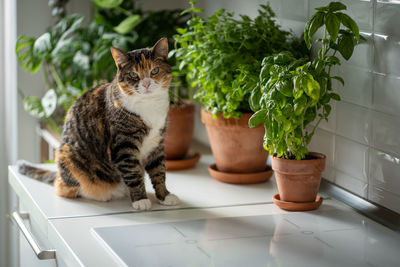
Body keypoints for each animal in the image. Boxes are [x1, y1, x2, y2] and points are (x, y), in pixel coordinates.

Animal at [18, 37, 179, 211]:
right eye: (133, 74)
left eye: (155, 70)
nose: (147, 84)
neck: (149, 105)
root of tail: (59, 175)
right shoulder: (124, 145)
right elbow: (133, 172)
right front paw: (140, 200)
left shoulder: (157, 142)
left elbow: (159, 171)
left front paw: (165, 196)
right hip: (66, 156)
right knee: (63, 188)